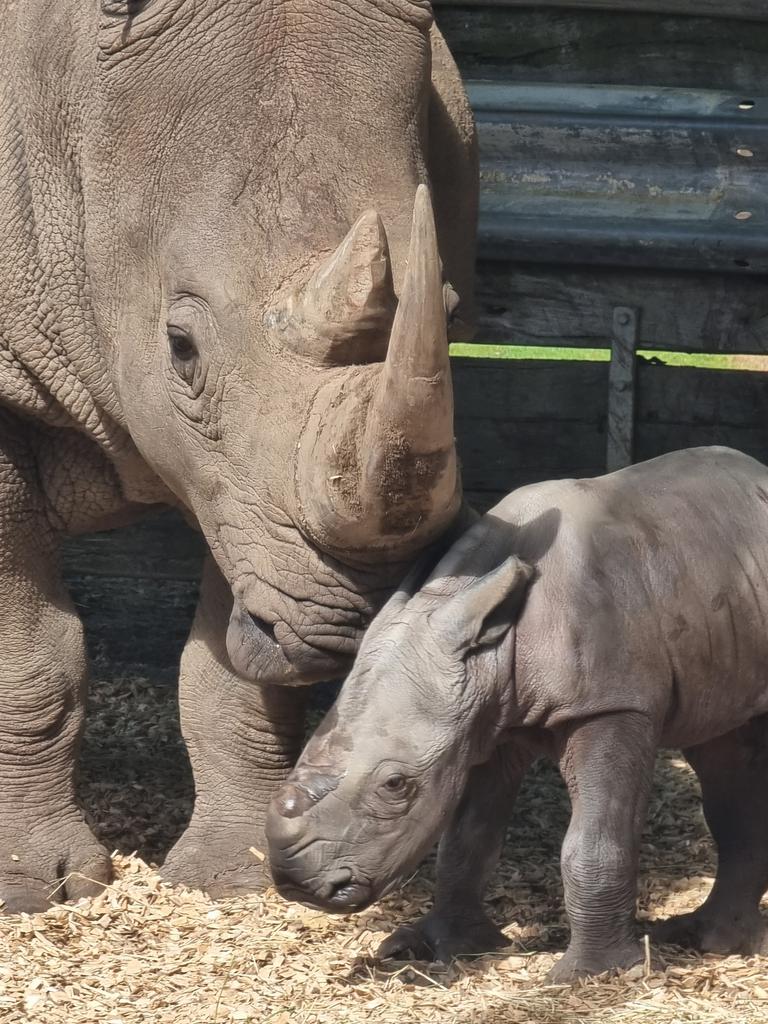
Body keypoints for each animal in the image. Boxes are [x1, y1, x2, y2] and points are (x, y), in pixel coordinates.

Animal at [0, 0, 479, 913]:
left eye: (449, 314)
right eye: (180, 348)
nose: (352, 620)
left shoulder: (245, 491)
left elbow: (233, 655)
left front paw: (237, 876)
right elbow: (31, 652)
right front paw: (36, 890)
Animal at [268, 450, 768, 983]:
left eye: (395, 785)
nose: (296, 882)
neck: (492, 648)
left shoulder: (611, 704)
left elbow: (591, 843)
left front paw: (591, 976)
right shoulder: (484, 719)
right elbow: (465, 842)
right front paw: (439, 947)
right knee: (725, 760)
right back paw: (708, 939)